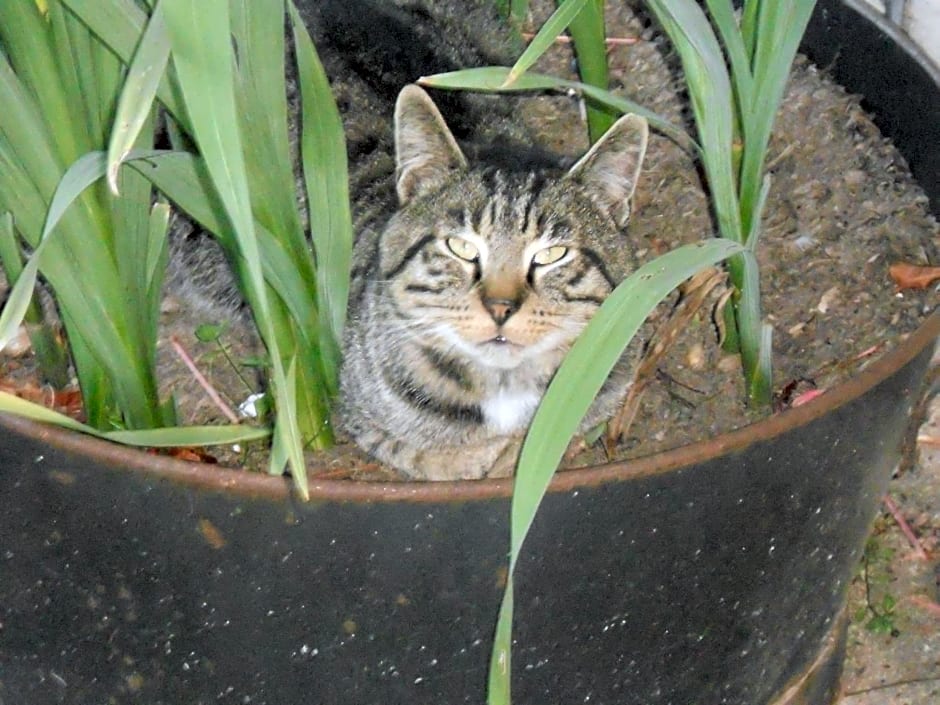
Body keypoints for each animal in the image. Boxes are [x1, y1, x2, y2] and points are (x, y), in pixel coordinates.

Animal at [338, 86, 648, 478]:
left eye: (552, 254)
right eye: (461, 247)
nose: (500, 308)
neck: (504, 386)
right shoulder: (359, 413)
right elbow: (427, 456)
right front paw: (483, 455)